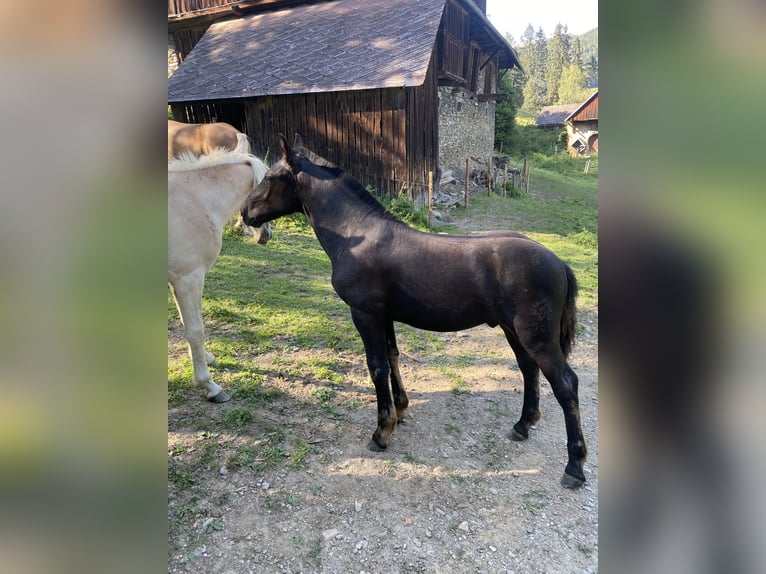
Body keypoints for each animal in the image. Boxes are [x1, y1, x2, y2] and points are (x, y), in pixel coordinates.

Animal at [168, 148, 268, 403]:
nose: (266, 236)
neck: (197, 199)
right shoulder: (189, 278)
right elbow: (195, 329)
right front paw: (209, 385)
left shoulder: (176, 282)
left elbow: (186, 322)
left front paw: (207, 358)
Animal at [241, 134, 587, 488]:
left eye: (271, 177)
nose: (245, 213)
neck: (357, 234)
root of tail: (559, 262)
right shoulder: (384, 315)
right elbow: (393, 357)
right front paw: (401, 410)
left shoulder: (365, 314)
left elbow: (377, 366)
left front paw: (382, 432)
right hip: (513, 330)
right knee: (529, 370)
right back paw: (522, 426)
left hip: (537, 337)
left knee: (565, 384)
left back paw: (574, 466)